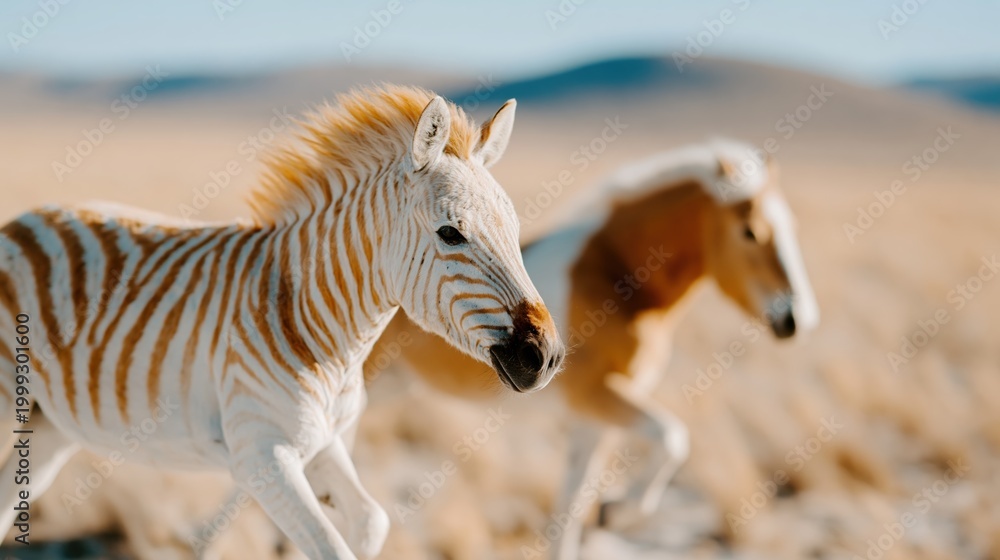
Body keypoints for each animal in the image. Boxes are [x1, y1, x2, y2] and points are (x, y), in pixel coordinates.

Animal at [0, 85, 565, 559]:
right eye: (451, 233)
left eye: (516, 228)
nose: (547, 356)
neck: (318, 325)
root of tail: (25, 218)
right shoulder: (260, 455)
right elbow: (332, 545)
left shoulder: (325, 441)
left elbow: (372, 521)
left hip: (50, 427)